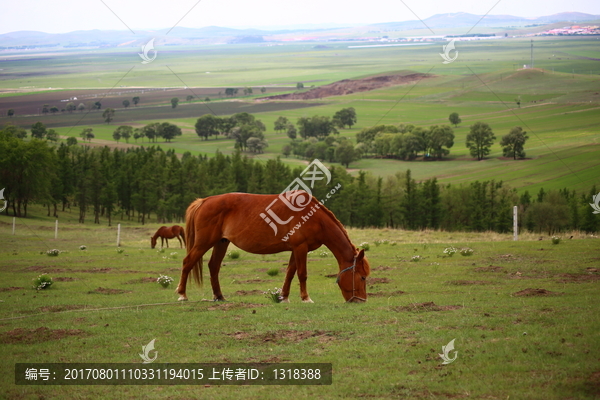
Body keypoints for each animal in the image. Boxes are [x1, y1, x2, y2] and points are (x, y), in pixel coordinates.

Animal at [175, 193, 370, 304]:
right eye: (362, 277)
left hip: (221, 242)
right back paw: (182, 295)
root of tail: (204, 201)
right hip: (204, 243)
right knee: (187, 262)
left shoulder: (297, 249)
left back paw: (219, 296)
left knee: (213, 266)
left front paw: (284, 297)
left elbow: (290, 273)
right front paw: (306, 298)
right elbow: (302, 274)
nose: (361, 301)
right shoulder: (300, 247)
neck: (313, 217)